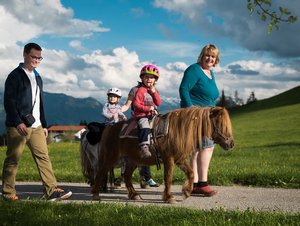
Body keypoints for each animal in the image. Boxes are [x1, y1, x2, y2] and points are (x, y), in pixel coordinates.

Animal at [88, 107, 233, 204]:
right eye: (221, 124)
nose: (231, 143)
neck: (176, 130)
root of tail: (110, 127)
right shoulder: (169, 158)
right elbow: (168, 177)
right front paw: (169, 197)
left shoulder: (179, 158)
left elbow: (191, 173)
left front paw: (186, 192)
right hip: (110, 157)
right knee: (101, 172)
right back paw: (95, 194)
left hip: (132, 160)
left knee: (127, 176)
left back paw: (134, 195)